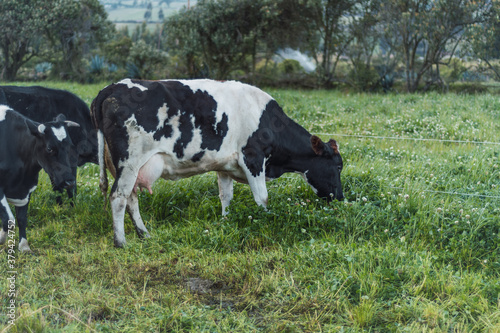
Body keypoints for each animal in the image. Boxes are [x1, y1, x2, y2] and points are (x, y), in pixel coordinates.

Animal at [0, 106, 80, 252]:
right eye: (49, 148)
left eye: (71, 146)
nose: (70, 181)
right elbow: (9, 219)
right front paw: (1, 239)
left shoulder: (27, 189)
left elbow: (22, 218)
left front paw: (24, 246)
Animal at [92, 78, 344, 246]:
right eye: (338, 166)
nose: (341, 198)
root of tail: (110, 88)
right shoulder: (253, 157)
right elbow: (262, 197)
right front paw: (264, 221)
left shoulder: (224, 165)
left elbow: (226, 196)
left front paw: (226, 222)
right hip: (130, 161)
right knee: (119, 197)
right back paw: (121, 241)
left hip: (122, 166)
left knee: (131, 197)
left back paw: (143, 233)